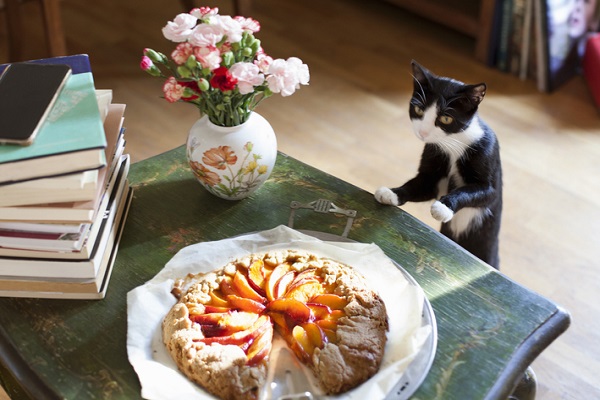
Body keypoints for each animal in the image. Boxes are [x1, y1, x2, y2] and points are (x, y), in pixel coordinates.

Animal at [376, 61, 502, 268]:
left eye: (446, 118)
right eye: (419, 110)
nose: (423, 133)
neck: (453, 145)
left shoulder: (487, 156)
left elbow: (475, 191)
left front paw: (444, 206)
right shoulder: (434, 159)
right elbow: (418, 184)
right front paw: (392, 193)